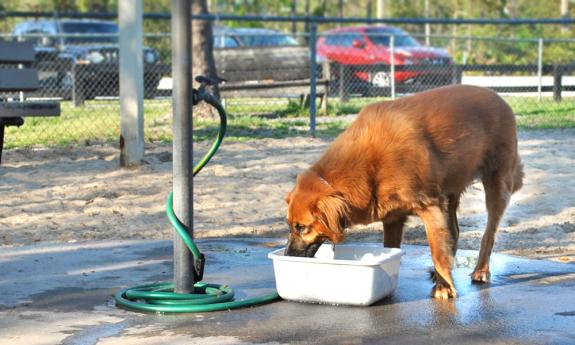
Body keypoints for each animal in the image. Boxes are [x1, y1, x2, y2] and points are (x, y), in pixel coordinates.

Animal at [286, 84, 524, 296]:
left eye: (301, 227)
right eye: (290, 225)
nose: (288, 254)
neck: (368, 165)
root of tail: (499, 97)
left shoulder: (429, 206)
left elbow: (437, 250)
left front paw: (444, 287)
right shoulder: (393, 218)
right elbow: (391, 248)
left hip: (496, 184)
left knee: (489, 233)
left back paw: (480, 270)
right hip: (450, 190)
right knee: (454, 231)